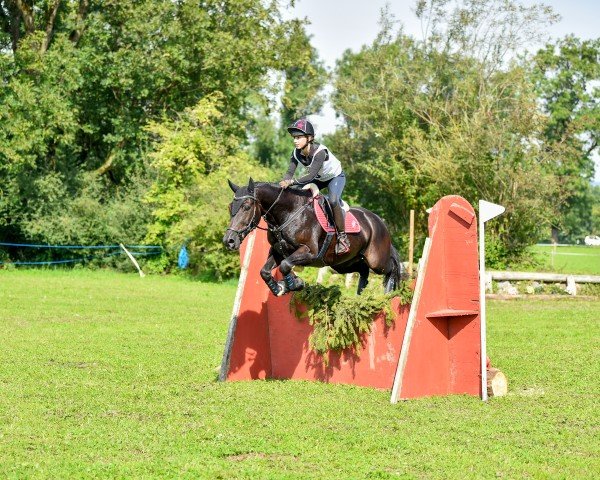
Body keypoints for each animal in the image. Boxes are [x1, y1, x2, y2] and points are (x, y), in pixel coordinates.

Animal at [223, 177, 406, 296]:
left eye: (246, 206)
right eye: (230, 206)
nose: (229, 241)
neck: (289, 213)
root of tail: (379, 222)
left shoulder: (309, 252)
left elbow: (285, 265)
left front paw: (295, 284)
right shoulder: (277, 251)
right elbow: (265, 272)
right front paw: (280, 288)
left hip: (376, 260)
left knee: (392, 267)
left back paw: (388, 293)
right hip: (343, 263)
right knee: (363, 271)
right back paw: (359, 296)